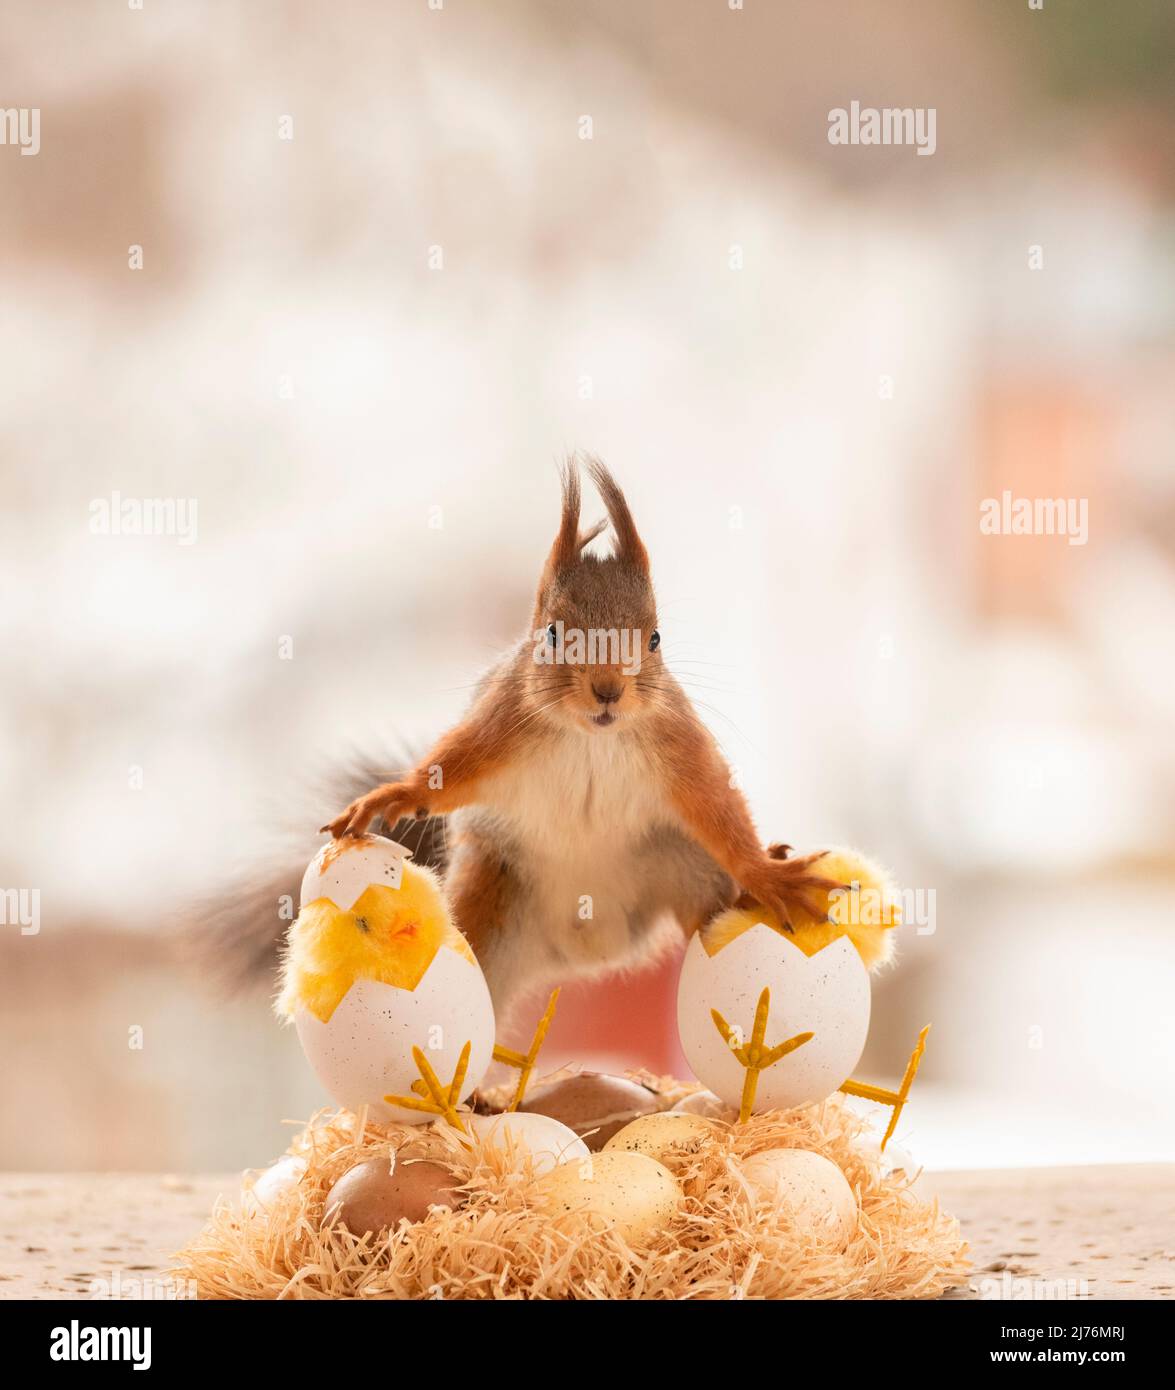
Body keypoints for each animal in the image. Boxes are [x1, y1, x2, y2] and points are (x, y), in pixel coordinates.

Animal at [314, 457, 842, 1016]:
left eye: (655, 639)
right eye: (551, 634)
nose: (608, 690)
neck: (591, 737)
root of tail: (585, 956)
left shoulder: (677, 741)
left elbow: (715, 803)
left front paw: (766, 874)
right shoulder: (501, 721)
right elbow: (449, 772)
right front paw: (394, 794)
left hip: (681, 860)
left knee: (706, 909)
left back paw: (747, 893)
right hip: (491, 884)